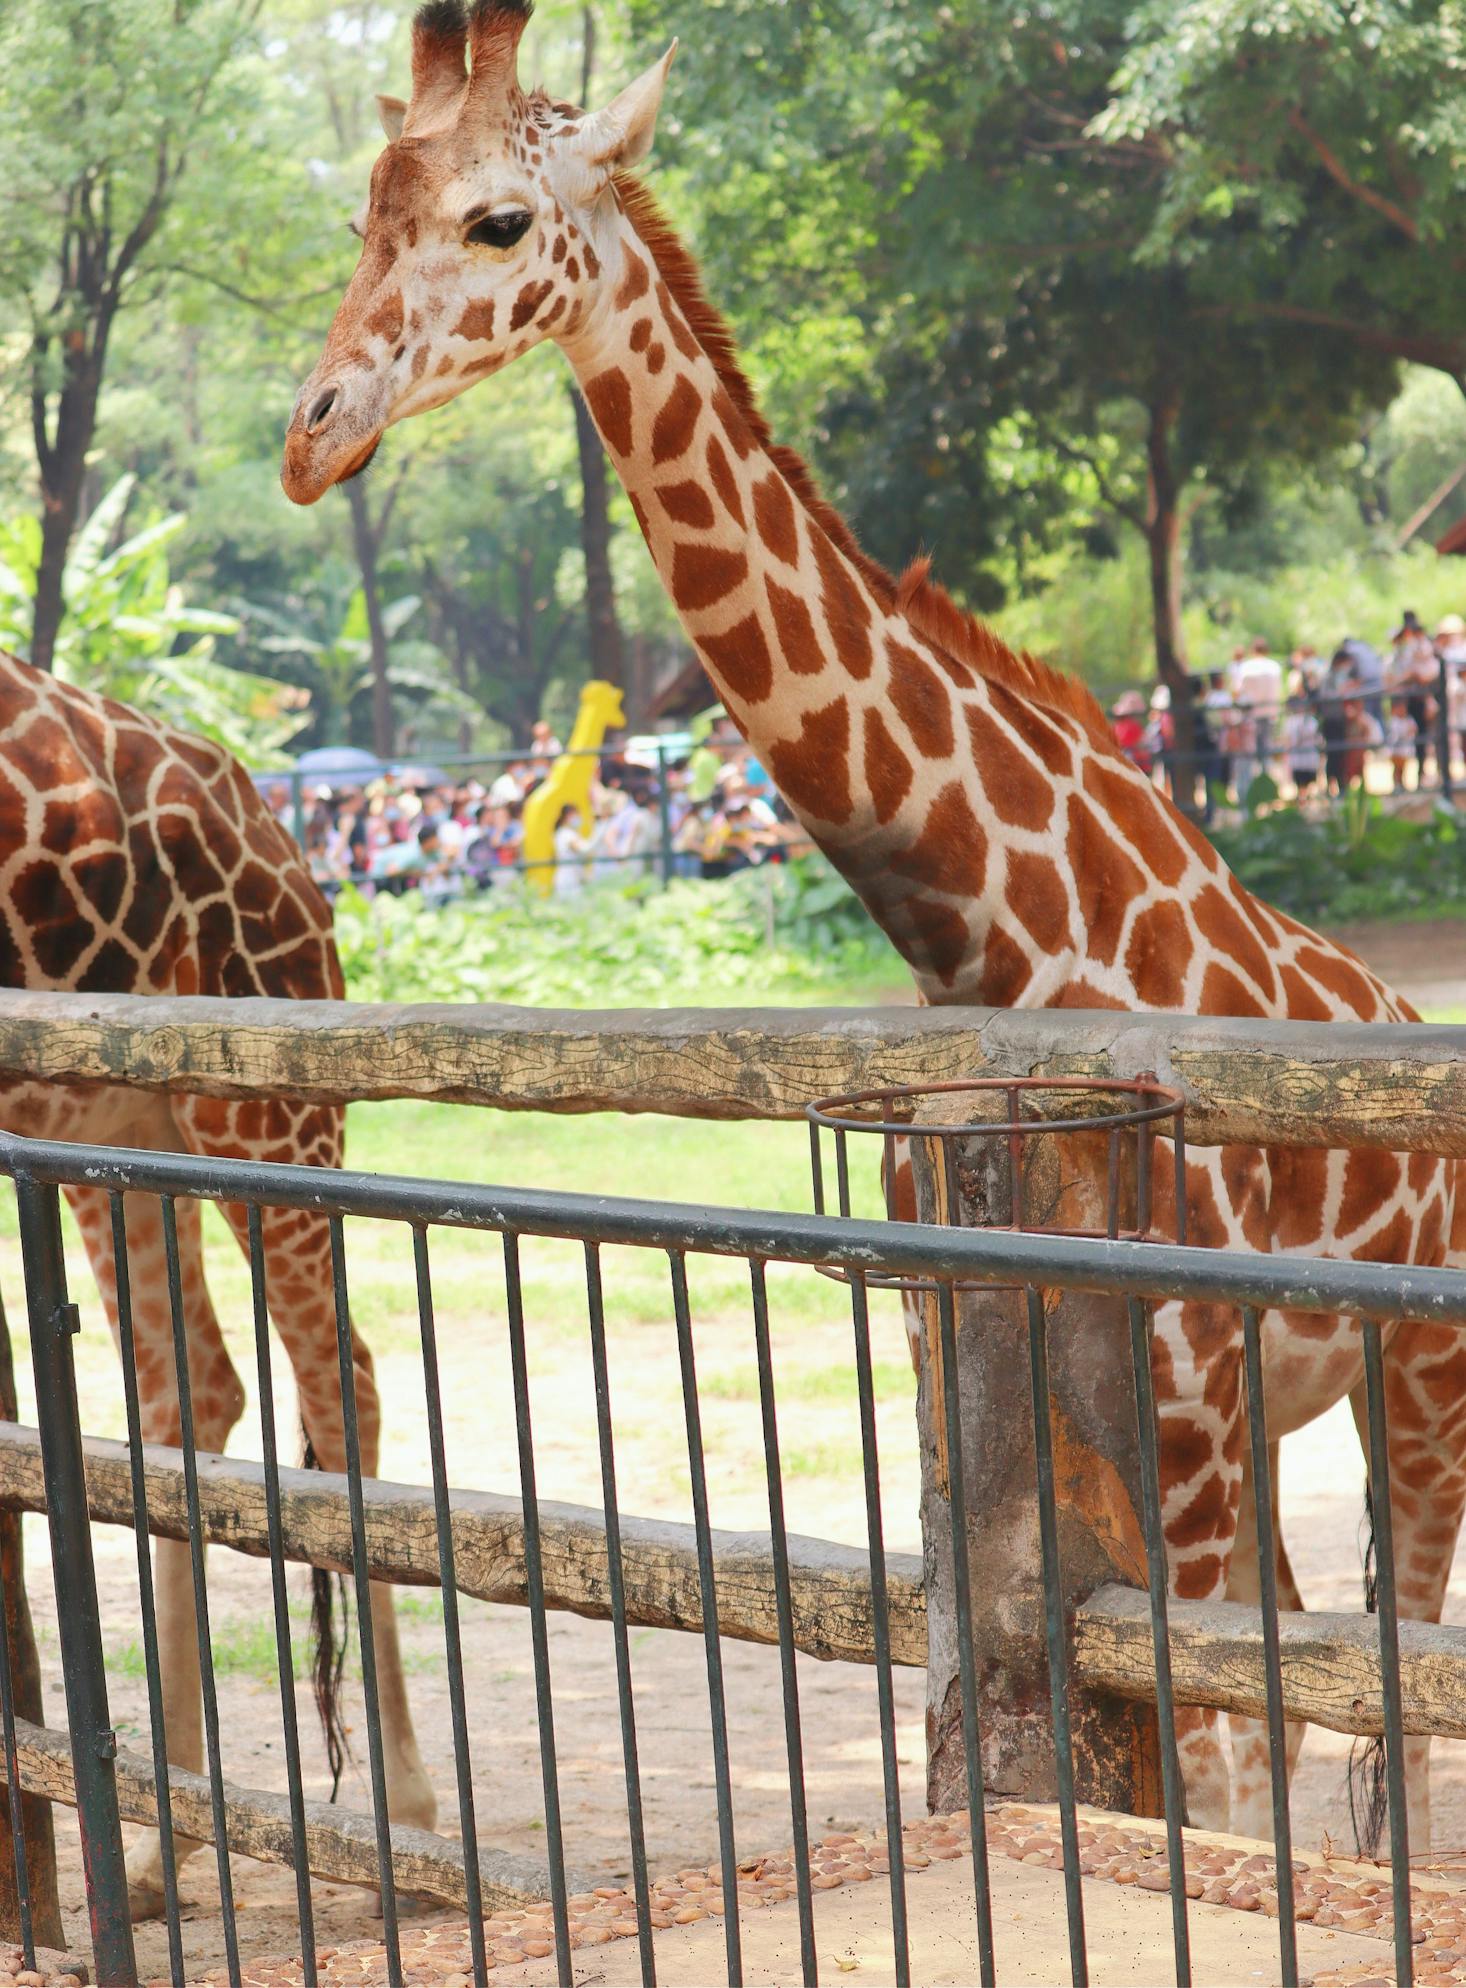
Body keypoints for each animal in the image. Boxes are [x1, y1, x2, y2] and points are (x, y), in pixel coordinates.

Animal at [0, 652, 433, 1908]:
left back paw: (405, 1818)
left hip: (264, 1103)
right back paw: (159, 1844)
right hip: (113, 1120)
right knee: (191, 1388)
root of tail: (291, 847)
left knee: (340, 1378)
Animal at [282, 0, 1464, 1844]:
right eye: (361, 216)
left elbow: (1220, 1789)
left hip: (1414, 1376)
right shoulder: (987, 1384)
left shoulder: (1188, 1419)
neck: (997, 939)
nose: (313, 433)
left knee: (1395, 1668)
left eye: (494, 220)